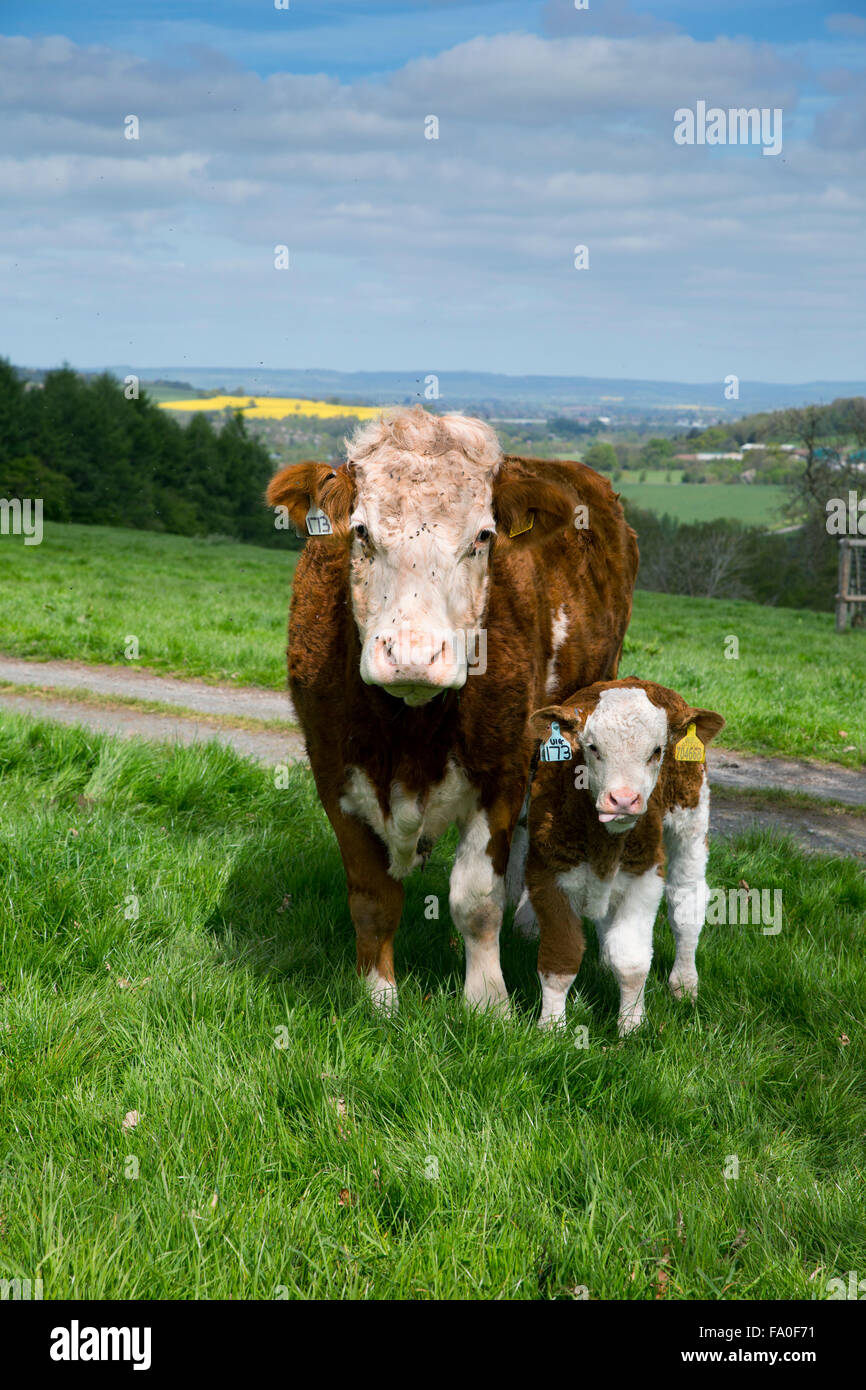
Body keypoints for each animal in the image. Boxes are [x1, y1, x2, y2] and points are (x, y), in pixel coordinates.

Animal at [268, 405, 639, 1017]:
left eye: (483, 537)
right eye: (361, 531)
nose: (413, 655)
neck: (408, 732)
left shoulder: (501, 772)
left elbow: (476, 900)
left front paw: (489, 1003)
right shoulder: (333, 772)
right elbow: (373, 899)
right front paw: (379, 1000)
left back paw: (530, 918)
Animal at [528, 678, 722, 1039]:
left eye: (656, 751)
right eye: (592, 747)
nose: (623, 800)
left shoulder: (645, 872)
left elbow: (632, 961)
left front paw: (631, 1027)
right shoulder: (545, 869)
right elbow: (560, 958)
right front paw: (552, 1028)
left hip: (691, 816)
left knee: (687, 902)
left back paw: (684, 982)